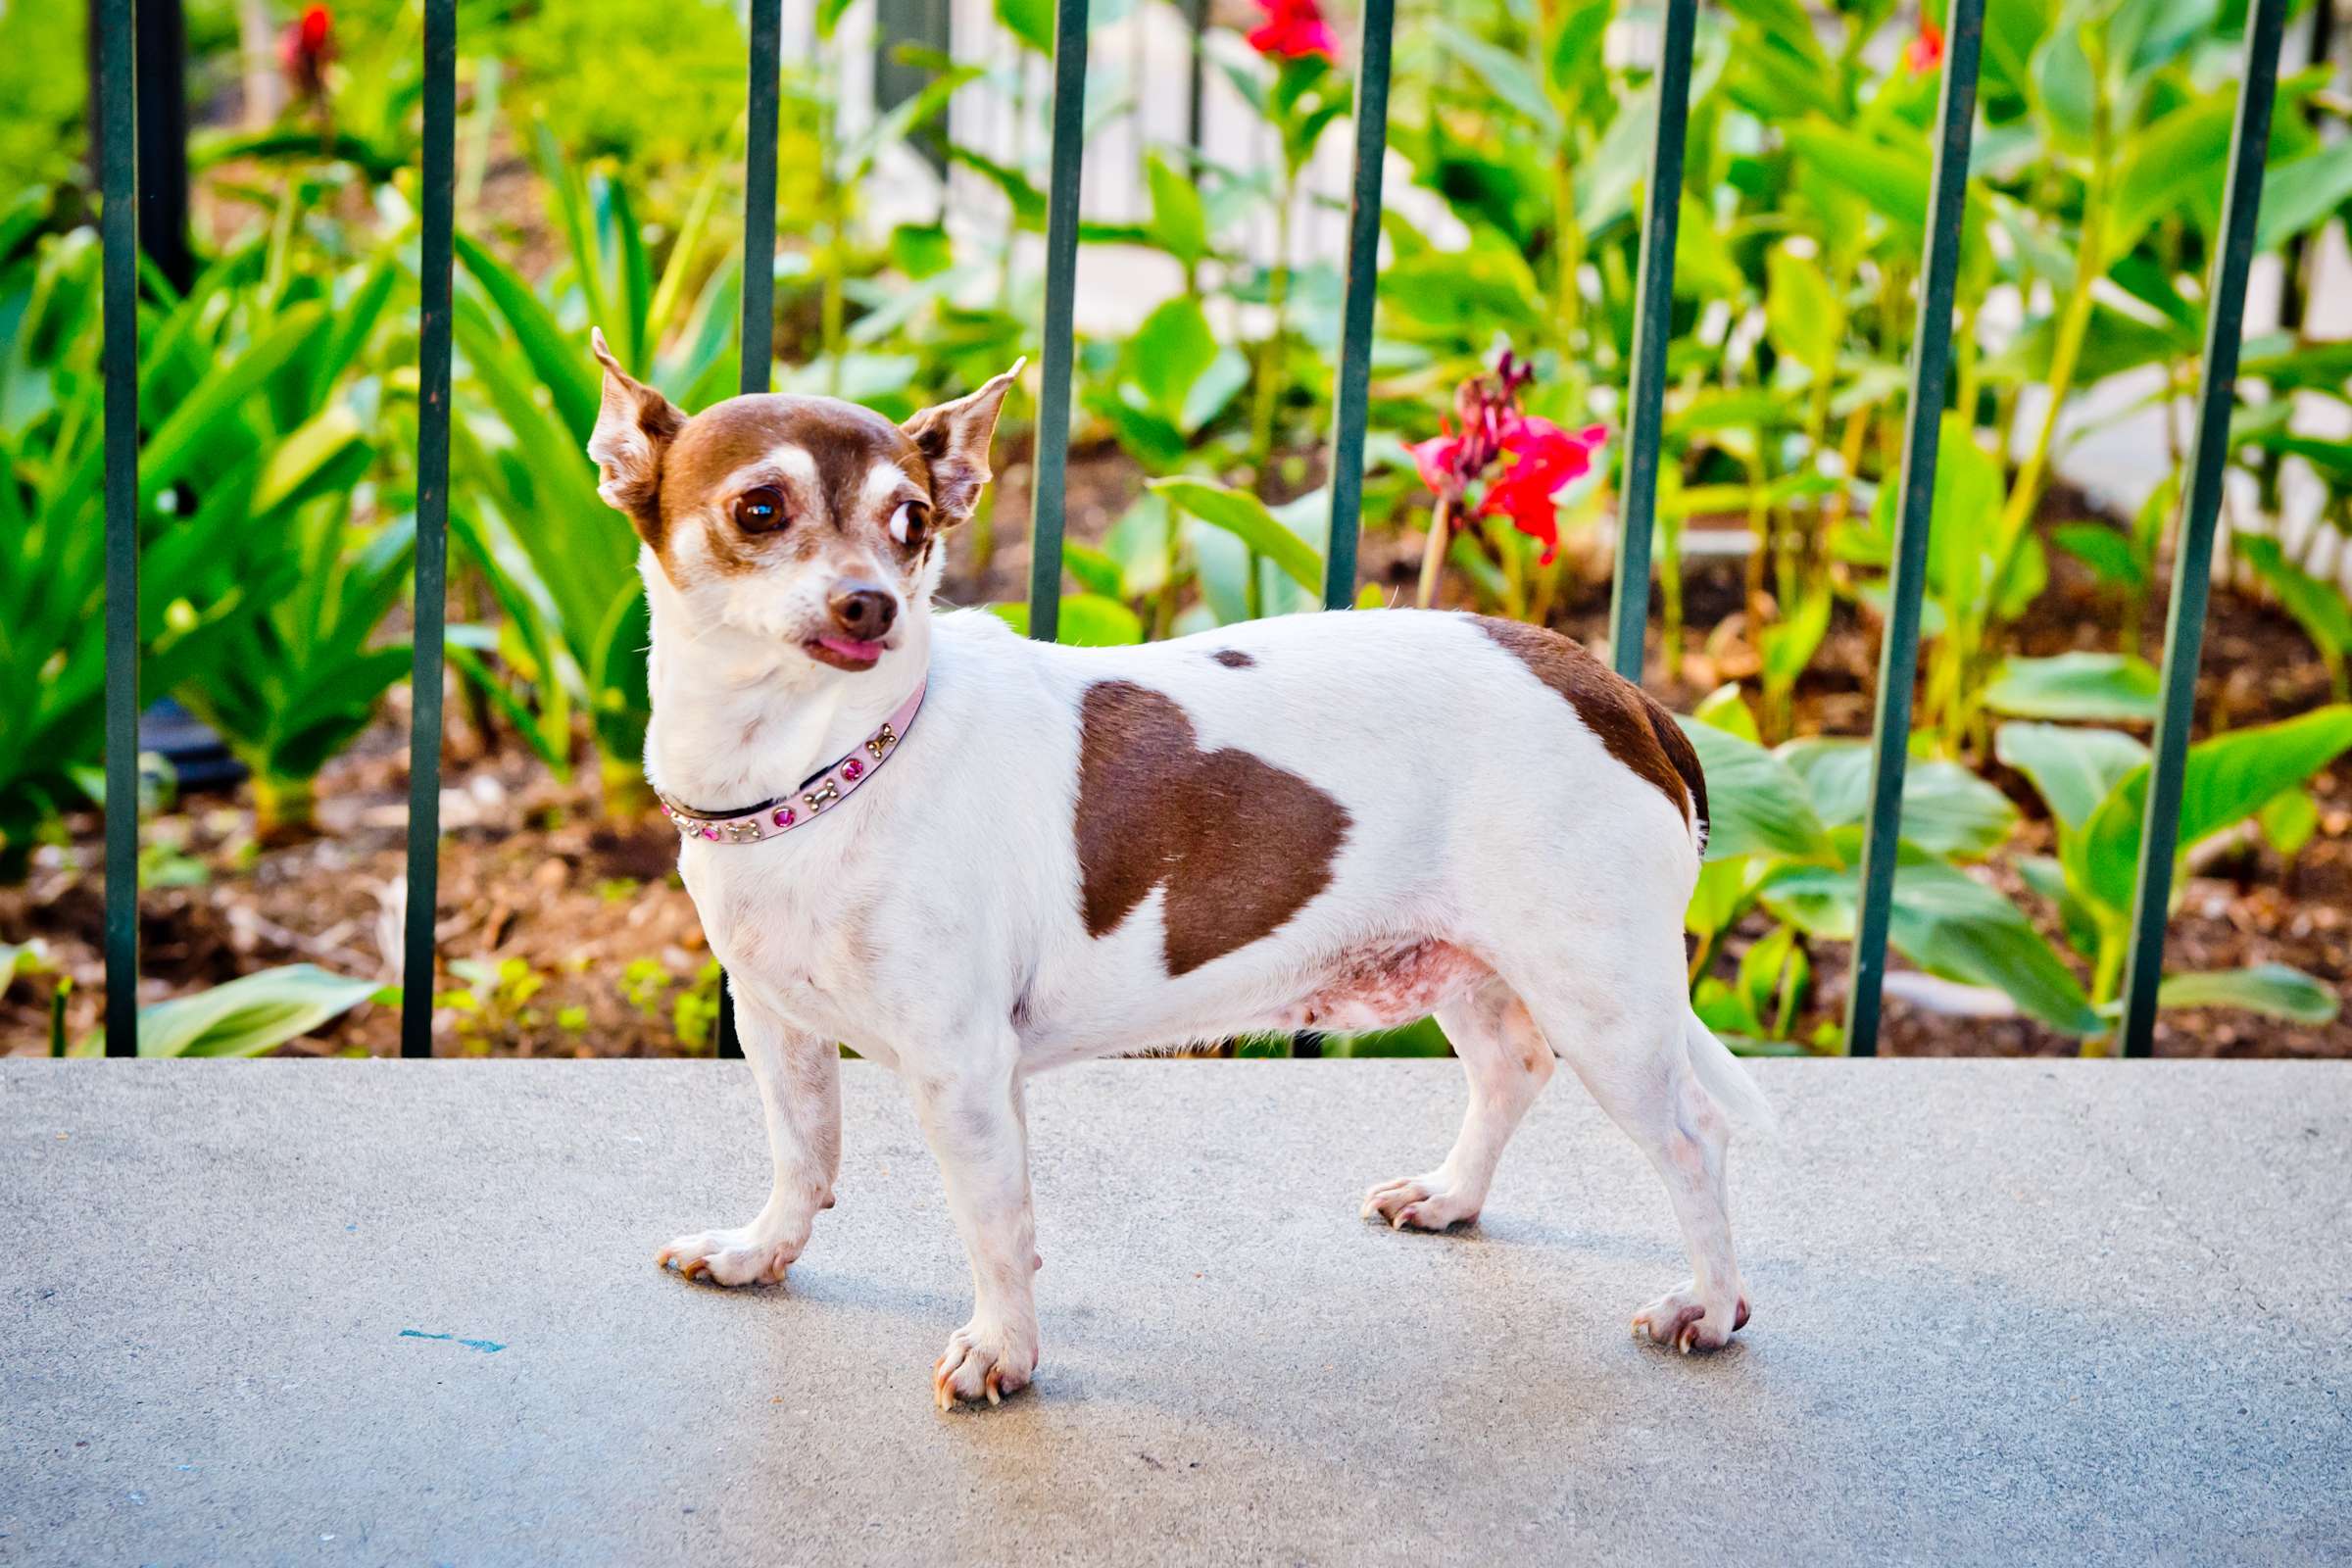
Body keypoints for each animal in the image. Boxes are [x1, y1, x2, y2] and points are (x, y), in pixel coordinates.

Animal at [583, 331, 1768, 1410]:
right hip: (1470, 964)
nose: (869, 600)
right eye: (759, 510)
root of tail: (1619, 691)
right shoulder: (776, 1024)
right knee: (1512, 1069)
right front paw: (760, 1251)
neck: (821, 766)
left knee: (1694, 1136)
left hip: (1601, 1000)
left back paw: (1710, 1305)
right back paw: (1451, 1195)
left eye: (911, 523)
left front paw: (1001, 1351)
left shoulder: (960, 1069)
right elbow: (805, 1154)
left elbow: (992, 1222)